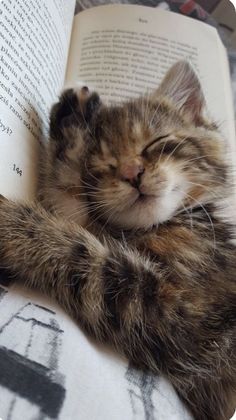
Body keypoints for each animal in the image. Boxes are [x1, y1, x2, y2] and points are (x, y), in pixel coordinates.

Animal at [0, 60, 236, 420]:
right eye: (104, 165)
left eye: (157, 142)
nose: (131, 172)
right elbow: (69, 203)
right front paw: (73, 119)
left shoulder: (178, 317)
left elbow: (79, 251)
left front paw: (12, 223)